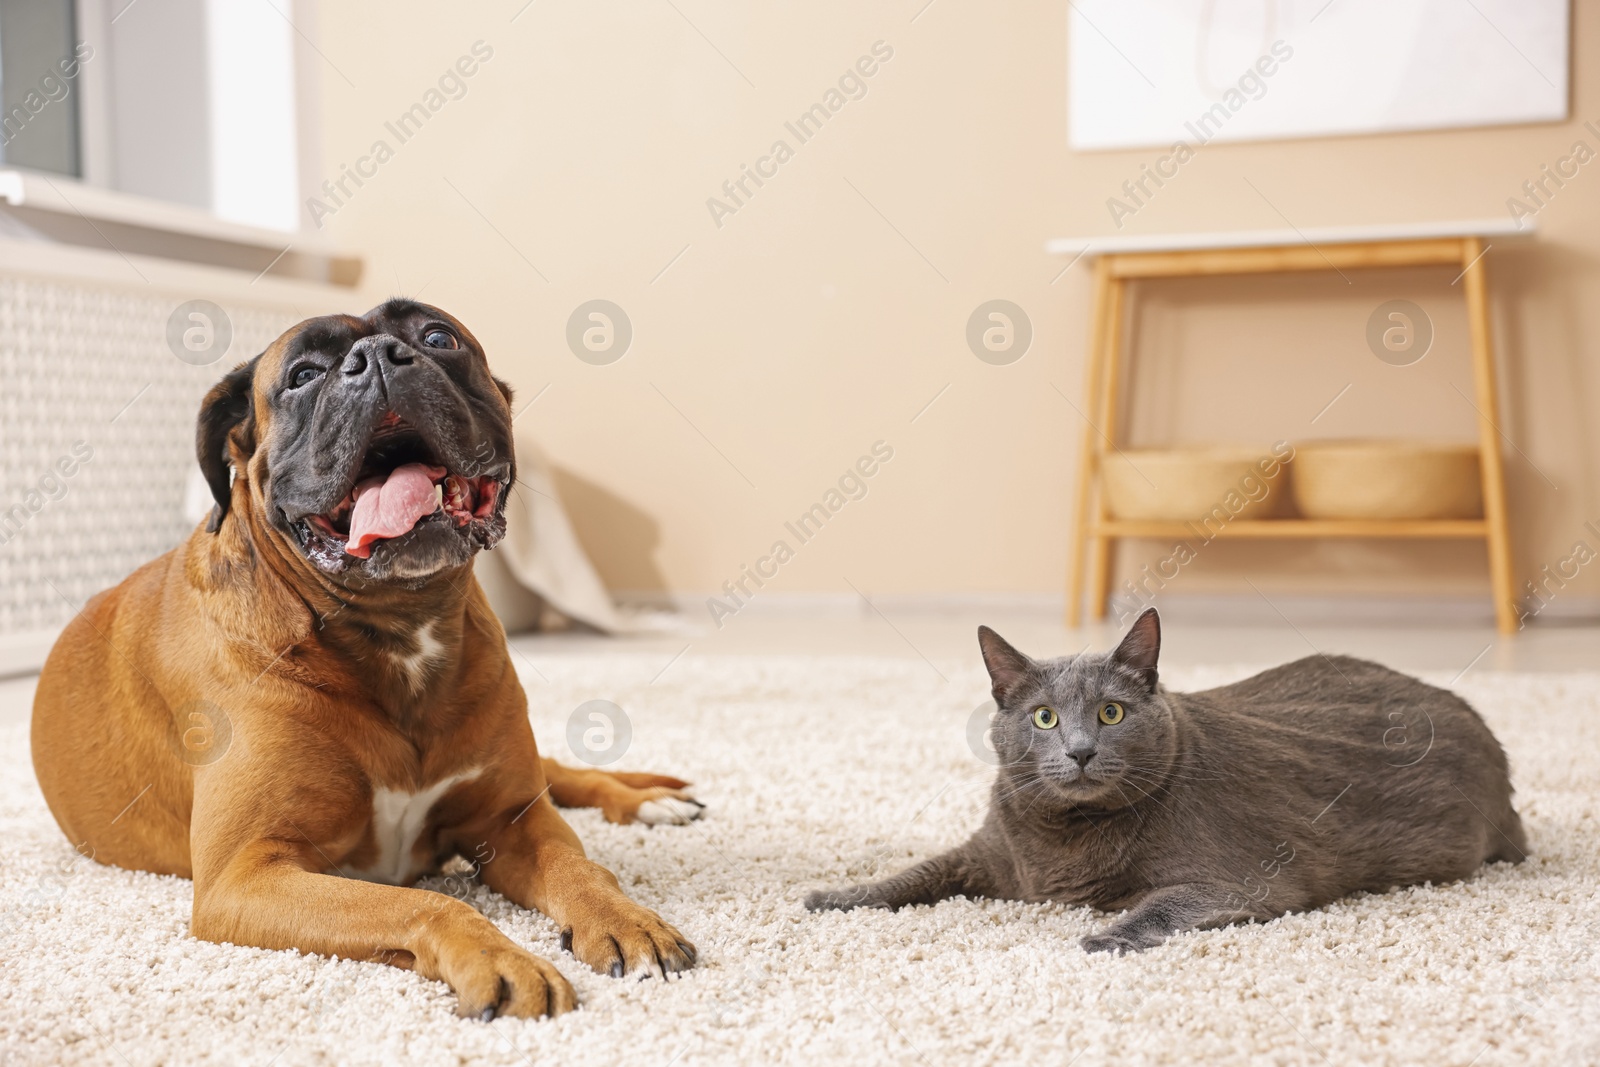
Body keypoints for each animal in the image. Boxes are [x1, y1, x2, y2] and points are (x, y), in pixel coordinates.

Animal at [29, 299, 700, 1017]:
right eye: (301, 375)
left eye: (438, 336)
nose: (376, 358)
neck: (396, 628)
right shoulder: (246, 875)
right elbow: (426, 904)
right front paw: (501, 959)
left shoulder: (512, 819)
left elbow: (582, 867)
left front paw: (626, 919)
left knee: (565, 775)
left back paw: (651, 800)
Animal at [812, 607, 1523, 953]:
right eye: (1044, 717)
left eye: (1110, 712)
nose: (1080, 751)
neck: (1062, 842)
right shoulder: (987, 852)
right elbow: (919, 871)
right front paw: (837, 897)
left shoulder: (1246, 878)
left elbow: (1161, 903)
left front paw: (1104, 937)